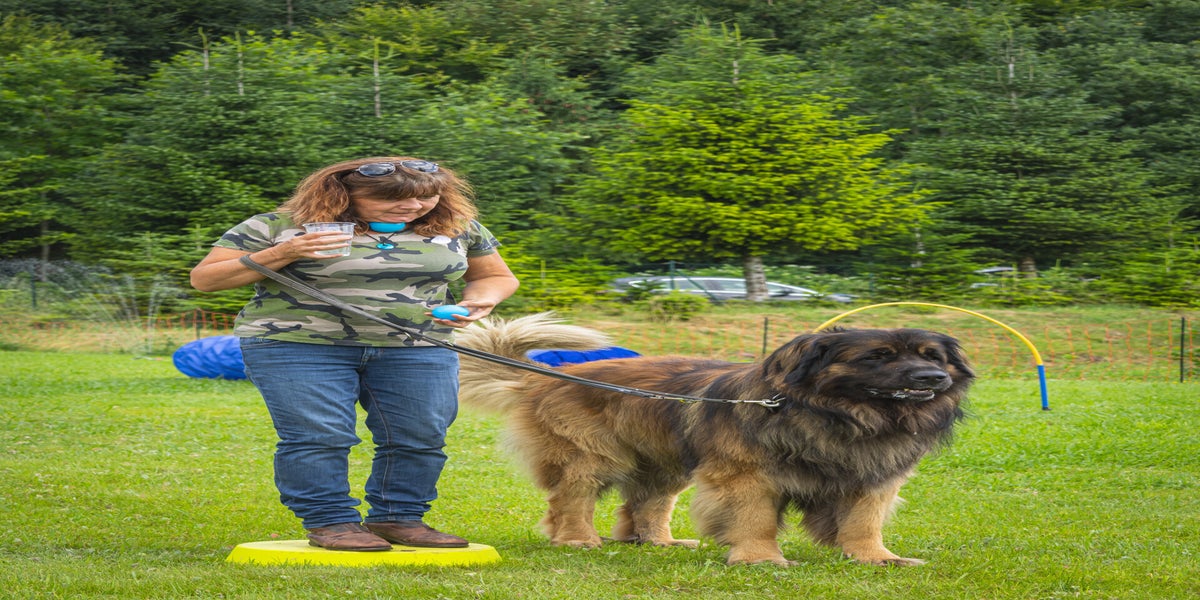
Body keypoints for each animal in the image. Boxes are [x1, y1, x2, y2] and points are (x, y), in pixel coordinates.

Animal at [455, 313, 972, 566]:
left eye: (932, 356)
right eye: (878, 356)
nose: (932, 377)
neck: (837, 416)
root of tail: (541, 376)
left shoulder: (872, 479)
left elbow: (864, 523)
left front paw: (878, 559)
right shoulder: (746, 477)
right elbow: (755, 519)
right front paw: (760, 559)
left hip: (665, 462)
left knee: (646, 503)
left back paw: (660, 543)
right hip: (590, 456)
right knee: (571, 500)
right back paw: (579, 540)